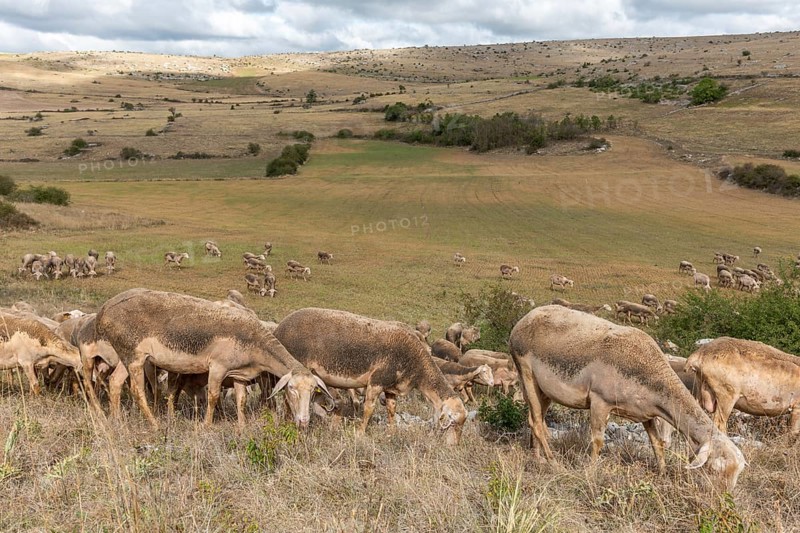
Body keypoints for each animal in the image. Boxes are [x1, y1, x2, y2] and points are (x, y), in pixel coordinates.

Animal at [94, 288, 330, 428]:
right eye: (291, 388)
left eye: (313, 391)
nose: (304, 421)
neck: (256, 343)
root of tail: (104, 310)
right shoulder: (218, 367)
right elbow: (213, 396)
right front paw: (207, 426)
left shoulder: (239, 375)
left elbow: (241, 400)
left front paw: (242, 427)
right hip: (134, 356)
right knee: (137, 390)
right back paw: (154, 424)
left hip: (125, 354)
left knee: (115, 382)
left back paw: (115, 420)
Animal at [272, 307, 468, 444]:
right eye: (453, 422)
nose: (454, 446)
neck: (417, 365)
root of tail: (279, 328)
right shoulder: (376, 381)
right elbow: (369, 409)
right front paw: (360, 433)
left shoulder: (390, 387)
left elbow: (391, 409)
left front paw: (392, 432)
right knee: (287, 397)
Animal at [509, 305, 746, 490]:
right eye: (715, 468)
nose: (724, 498)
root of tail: (523, 321)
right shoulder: (600, 401)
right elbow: (597, 441)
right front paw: (591, 470)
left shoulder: (647, 414)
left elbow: (657, 443)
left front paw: (663, 472)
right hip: (526, 372)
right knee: (538, 423)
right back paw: (552, 462)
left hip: (545, 390)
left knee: (535, 420)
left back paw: (538, 458)